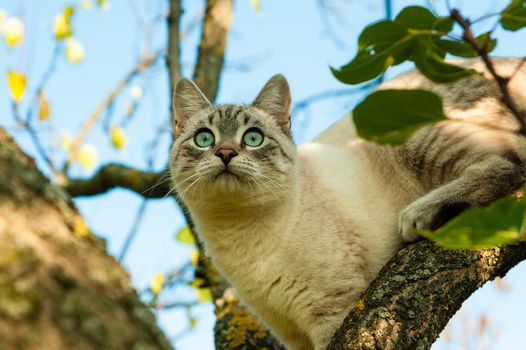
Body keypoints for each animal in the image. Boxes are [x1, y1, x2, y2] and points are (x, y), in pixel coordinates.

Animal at [170, 58, 526, 350]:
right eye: (204, 139)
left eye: (253, 138)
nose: (226, 153)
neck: (240, 236)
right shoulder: (293, 336)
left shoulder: (333, 309)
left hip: (417, 135)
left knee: (505, 167)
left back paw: (417, 215)